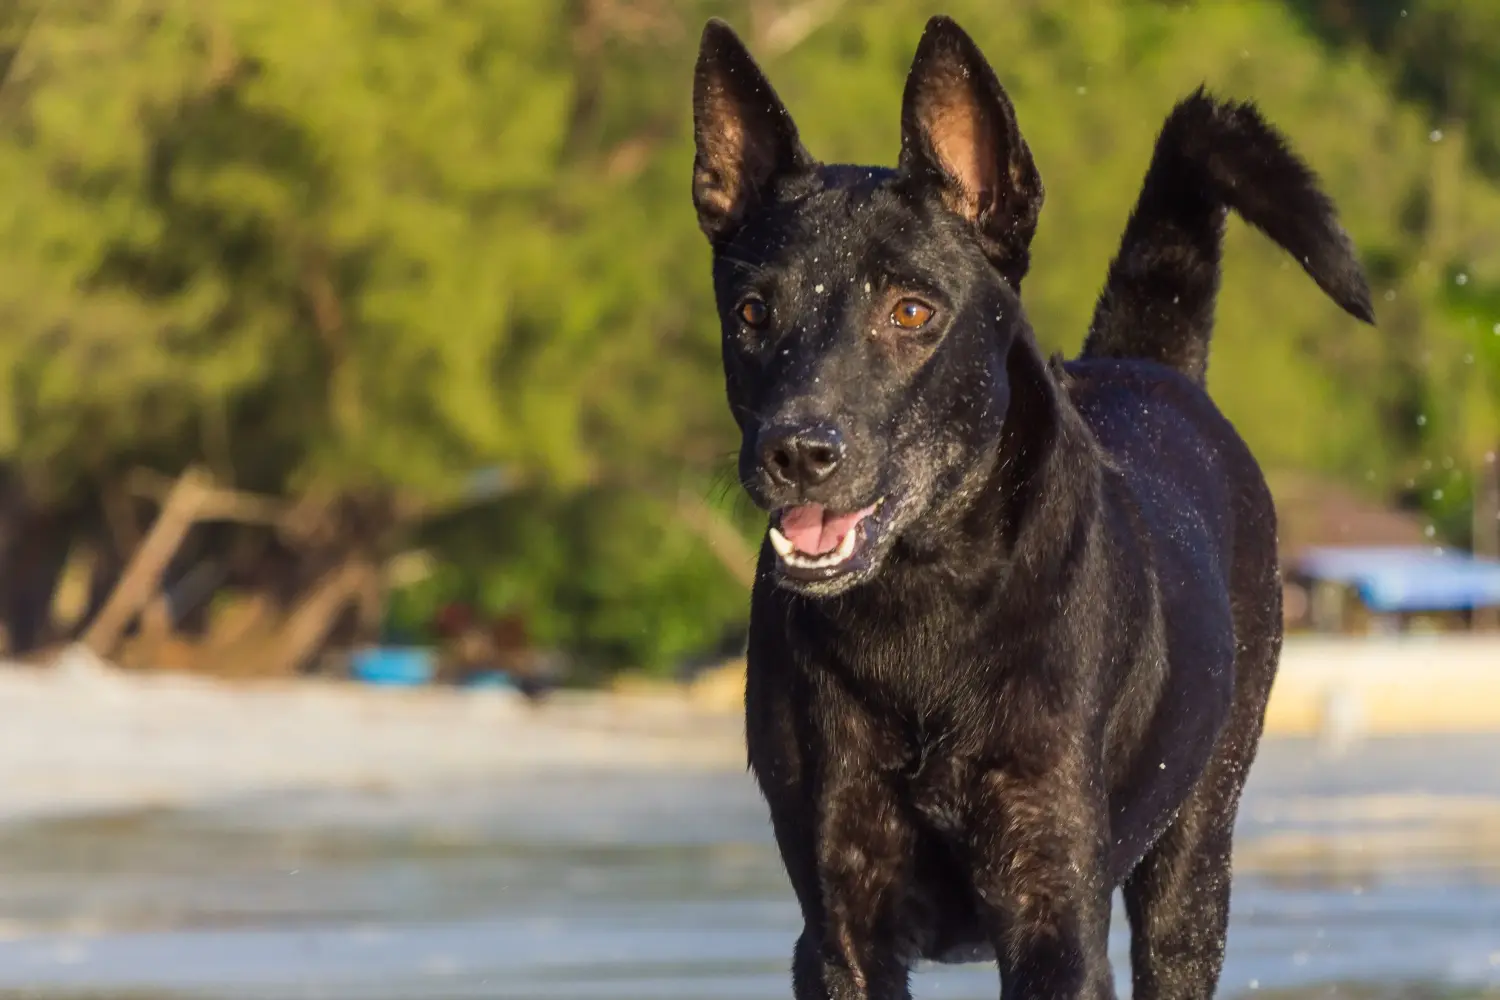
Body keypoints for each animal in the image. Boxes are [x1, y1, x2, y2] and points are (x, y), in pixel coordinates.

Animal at [690, 15, 1374, 1000]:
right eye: (751, 311)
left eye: (911, 311)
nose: (798, 453)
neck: (921, 621)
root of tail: (1146, 361)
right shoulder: (840, 928)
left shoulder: (1051, 906)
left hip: (1193, 863)